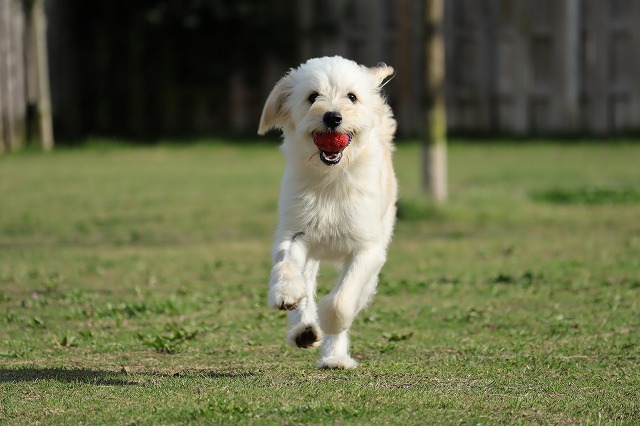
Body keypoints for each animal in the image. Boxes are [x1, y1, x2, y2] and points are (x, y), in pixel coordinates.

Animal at [258, 56, 397, 369]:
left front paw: (331, 323)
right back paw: (303, 328)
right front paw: (285, 292)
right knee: (306, 284)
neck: (331, 178)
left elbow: (342, 301)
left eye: (352, 97)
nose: (332, 117)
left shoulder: (367, 249)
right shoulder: (296, 232)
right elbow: (286, 262)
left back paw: (335, 356)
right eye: (312, 97)